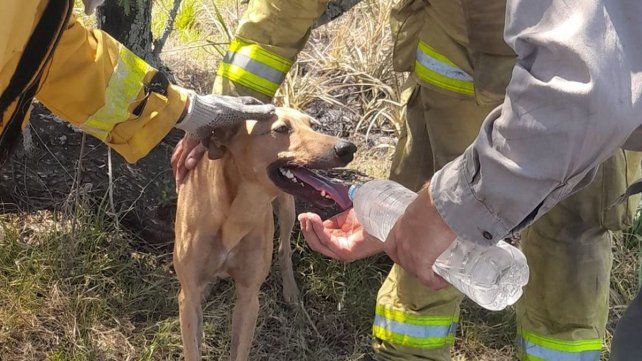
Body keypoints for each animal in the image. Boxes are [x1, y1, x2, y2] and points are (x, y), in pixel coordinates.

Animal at [174, 107, 356, 360]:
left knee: (284, 249)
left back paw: (291, 291)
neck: (235, 213)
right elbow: (193, 347)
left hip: (287, 208)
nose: (347, 148)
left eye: (313, 125)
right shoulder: (188, 299)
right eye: (281, 129)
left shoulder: (249, 298)